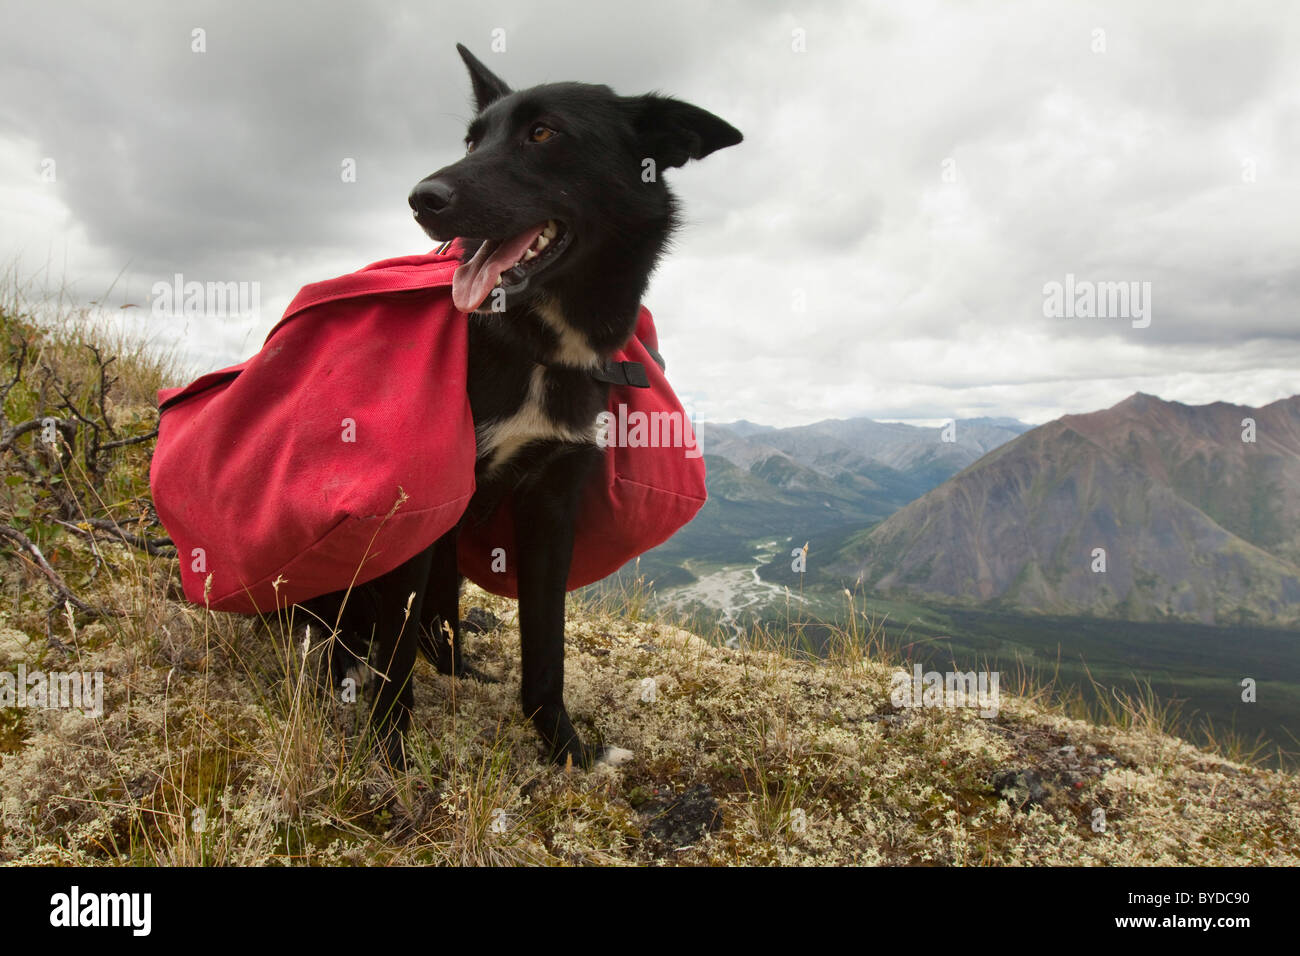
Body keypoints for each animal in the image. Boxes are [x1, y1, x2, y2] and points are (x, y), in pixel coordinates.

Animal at [299, 46, 738, 770]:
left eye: (543, 133)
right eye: (471, 140)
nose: (422, 199)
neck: (535, 343)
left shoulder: (553, 504)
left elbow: (545, 648)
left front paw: (565, 747)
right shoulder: (424, 502)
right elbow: (395, 654)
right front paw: (390, 751)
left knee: (433, 625)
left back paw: (459, 668)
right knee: (339, 630)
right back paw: (341, 678)